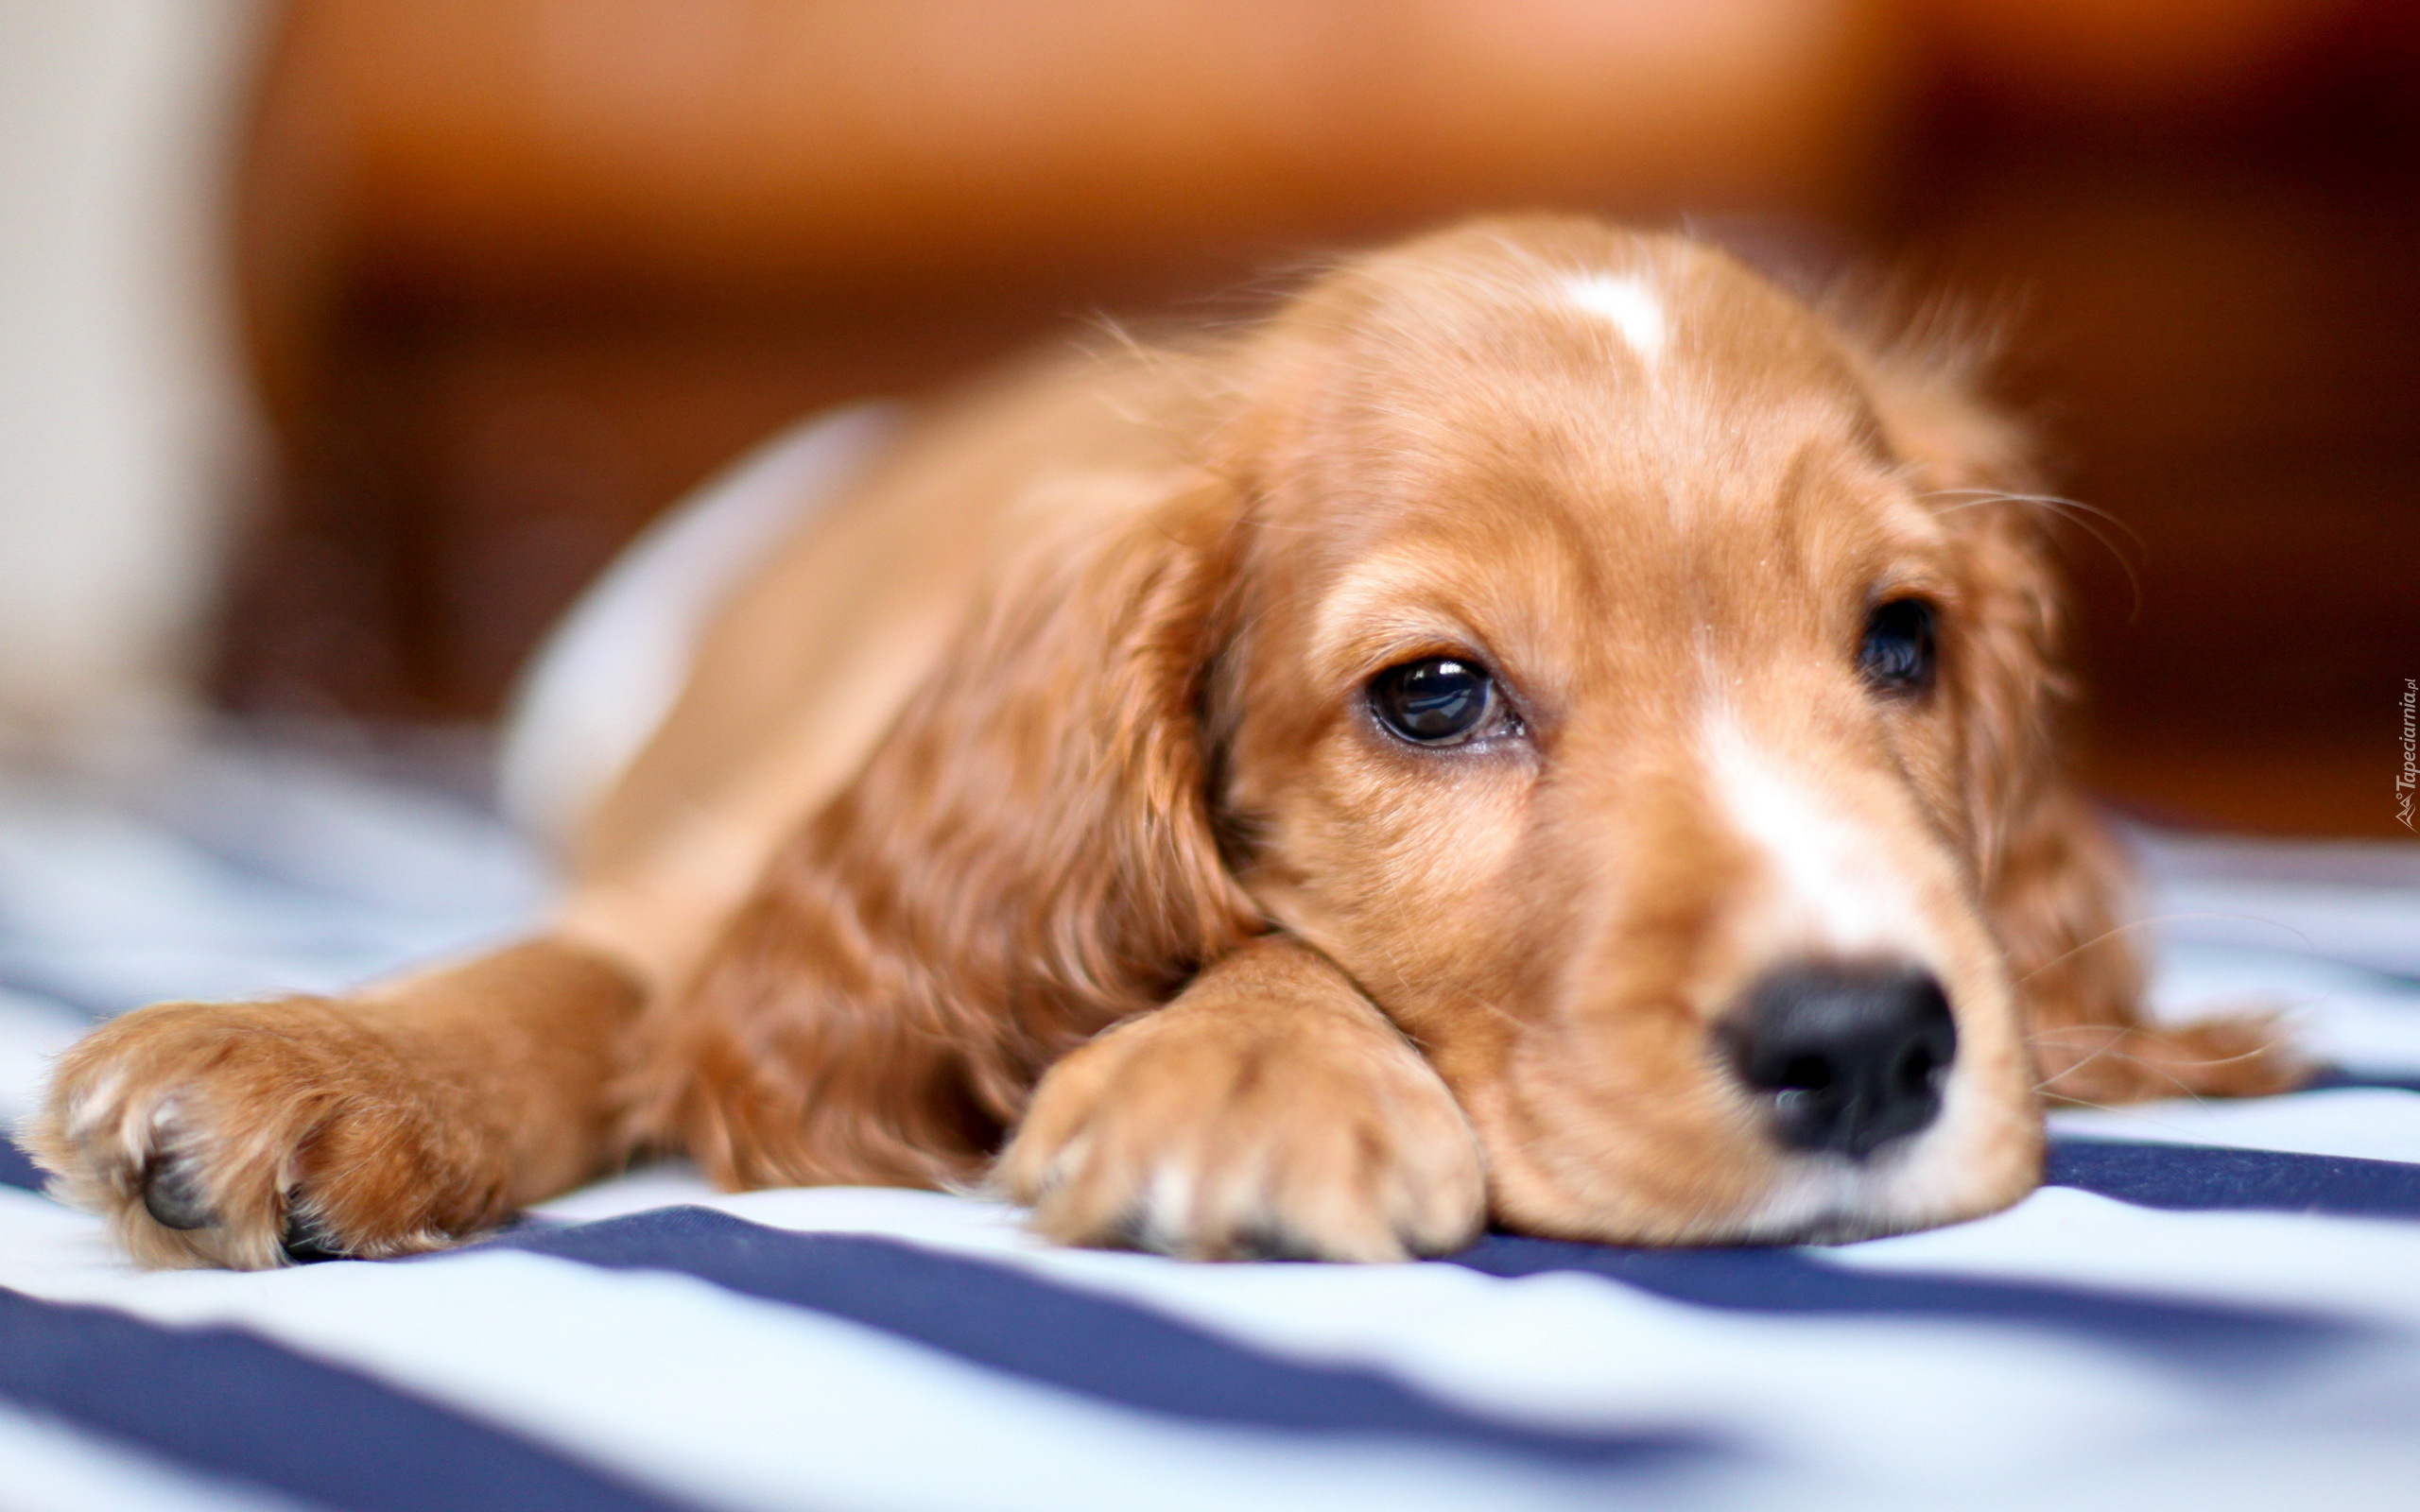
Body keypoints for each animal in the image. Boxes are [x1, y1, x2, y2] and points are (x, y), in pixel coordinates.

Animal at [23, 217, 2304, 1267]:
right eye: (1435, 694)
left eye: (1900, 641)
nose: (1866, 1046)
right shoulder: (761, 876)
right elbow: (592, 972)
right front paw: (317, 1066)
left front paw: (1236, 1069)